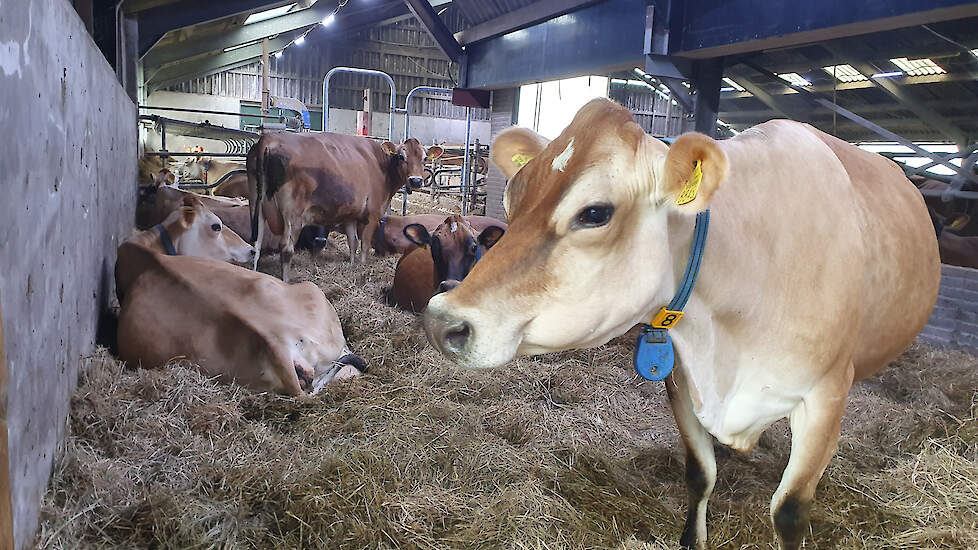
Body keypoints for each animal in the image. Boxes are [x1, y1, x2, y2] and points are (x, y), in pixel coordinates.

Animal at [246, 132, 440, 282]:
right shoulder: (372, 214)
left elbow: (352, 242)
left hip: (256, 205)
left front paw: (352, 266)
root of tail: (268, 139)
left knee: (255, 244)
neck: (381, 165)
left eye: (424, 158)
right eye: (401, 156)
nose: (416, 180)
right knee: (286, 248)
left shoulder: (350, 215)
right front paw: (362, 266)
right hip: (293, 214)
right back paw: (286, 282)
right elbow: (364, 245)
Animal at [420, 99, 936, 550]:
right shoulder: (682, 381)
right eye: (512, 198)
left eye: (594, 212)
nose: (442, 319)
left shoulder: (825, 394)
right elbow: (699, 474)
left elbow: (790, 509)